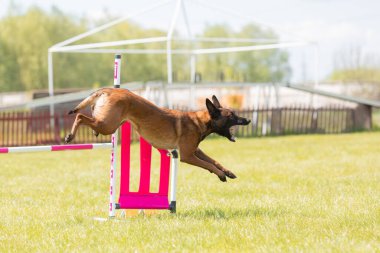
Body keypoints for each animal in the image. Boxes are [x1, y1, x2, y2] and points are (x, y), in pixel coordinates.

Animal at [64, 88, 251, 181]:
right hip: (108, 125)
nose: (248, 120)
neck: (200, 121)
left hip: (108, 123)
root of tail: (108, 90)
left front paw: (227, 172)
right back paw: (69, 136)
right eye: (231, 116)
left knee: (89, 117)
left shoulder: (195, 151)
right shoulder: (188, 155)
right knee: (80, 116)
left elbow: (214, 161)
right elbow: (208, 165)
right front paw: (220, 175)